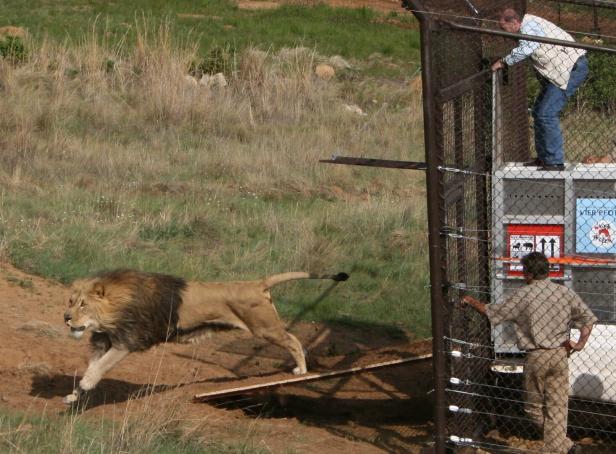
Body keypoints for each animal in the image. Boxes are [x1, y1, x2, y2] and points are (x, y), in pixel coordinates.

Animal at [65, 268, 352, 402]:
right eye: (70, 302)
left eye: (83, 305)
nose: (66, 318)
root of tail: (257, 283)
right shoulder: (105, 341)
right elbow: (92, 365)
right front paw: (74, 396)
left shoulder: (128, 340)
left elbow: (100, 367)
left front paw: (87, 384)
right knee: (295, 341)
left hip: (265, 328)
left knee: (292, 340)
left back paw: (301, 369)